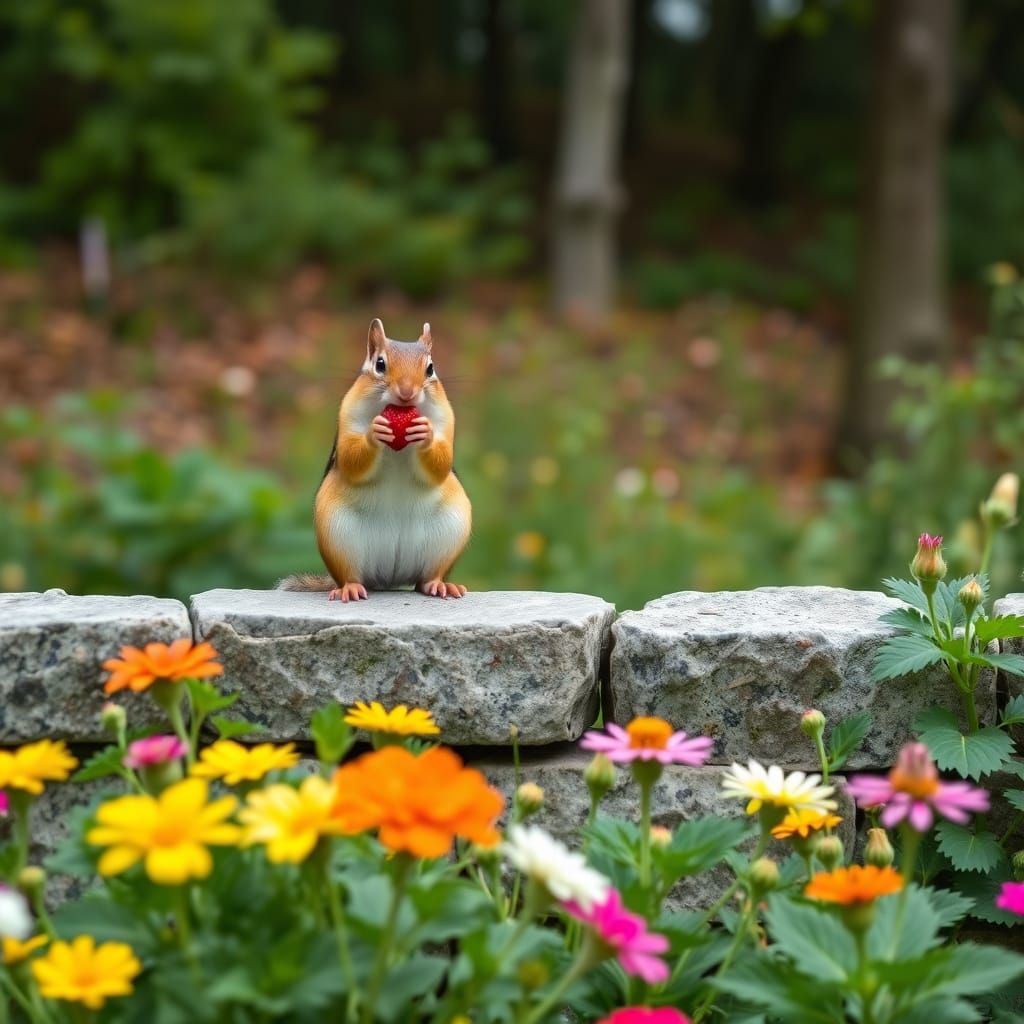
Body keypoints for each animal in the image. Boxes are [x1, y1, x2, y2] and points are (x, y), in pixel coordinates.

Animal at [278, 318, 471, 602]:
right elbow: (351, 459)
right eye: (380, 364)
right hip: (338, 533)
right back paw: (350, 588)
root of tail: (391, 578)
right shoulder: (348, 415)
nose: (407, 392)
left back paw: (439, 585)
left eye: (430, 368)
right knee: (352, 575)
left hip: (451, 529)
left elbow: (441, 464)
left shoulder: (446, 419)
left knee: (427, 577)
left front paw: (424, 434)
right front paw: (374, 432)